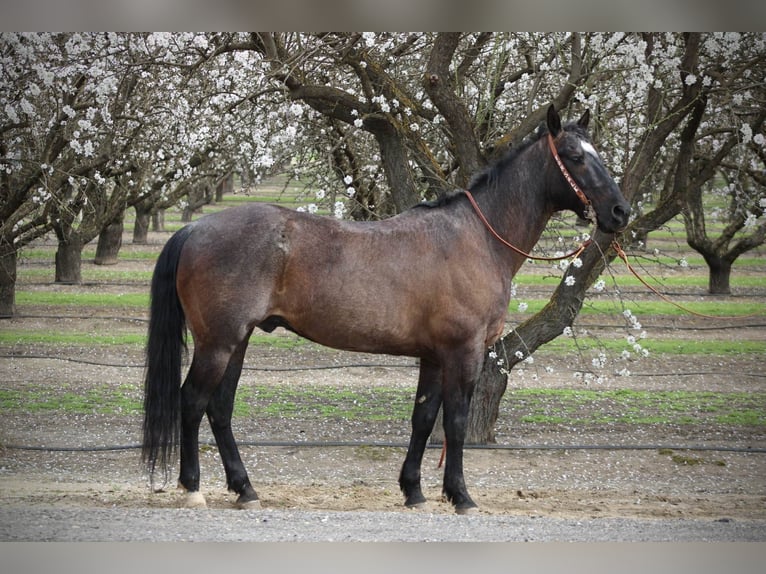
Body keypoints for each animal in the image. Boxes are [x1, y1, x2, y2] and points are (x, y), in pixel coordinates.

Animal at [142, 105, 630, 514]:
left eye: (598, 153)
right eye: (574, 156)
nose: (620, 212)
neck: (477, 238)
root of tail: (195, 228)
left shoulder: (434, 356)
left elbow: (423, 419)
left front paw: (414, 491)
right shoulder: (464, 352)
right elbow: (455, 422)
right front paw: (460, 495)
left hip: (238, 341)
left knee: (219, 409)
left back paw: (245, 488)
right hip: (219, 343)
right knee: (193, 401)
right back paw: (193, 488)